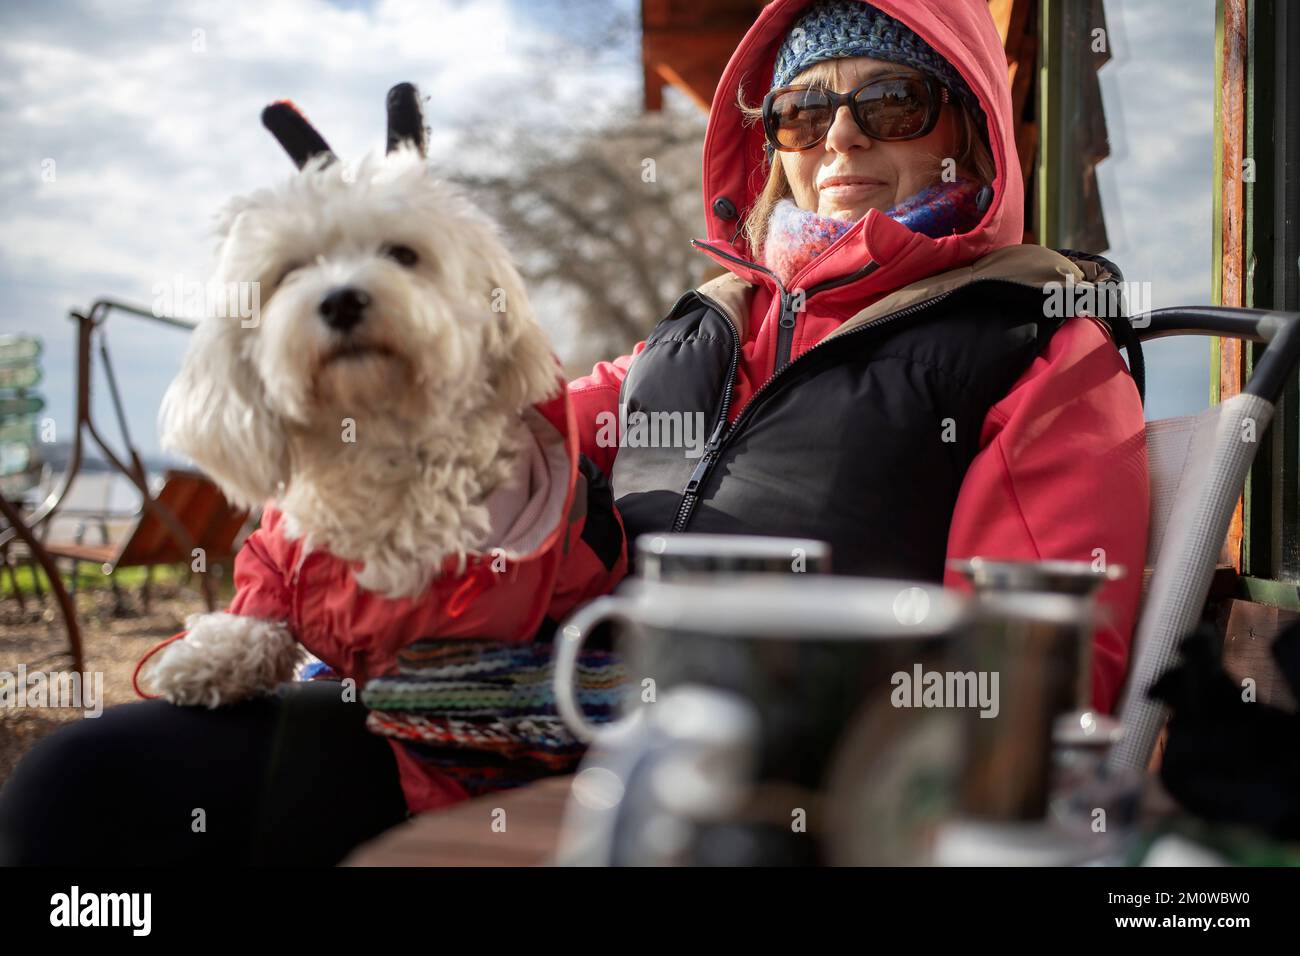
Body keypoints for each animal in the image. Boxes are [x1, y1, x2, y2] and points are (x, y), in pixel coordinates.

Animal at [152, 85, 559, 707]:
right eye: (291, 270)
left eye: (402, 254)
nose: (342, 300)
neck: (370, 435)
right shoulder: (275, 565)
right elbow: (259, 615)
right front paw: (209, 658)